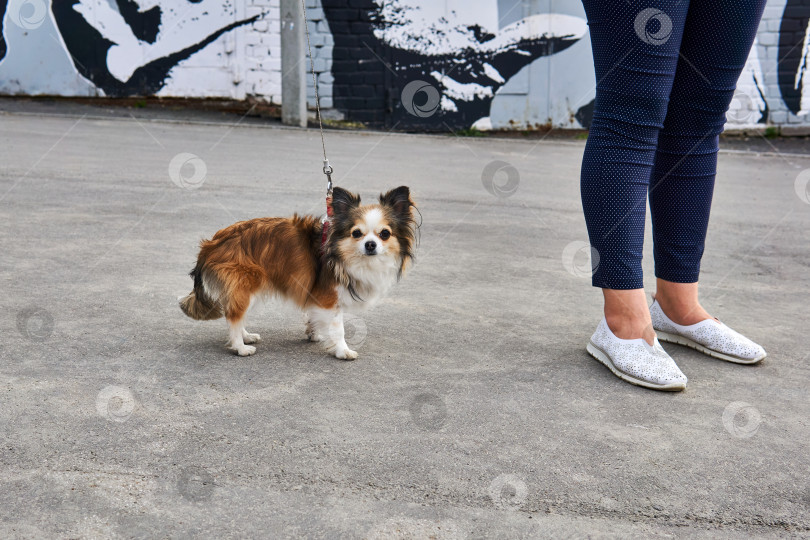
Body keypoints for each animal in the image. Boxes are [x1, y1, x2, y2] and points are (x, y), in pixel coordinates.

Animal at [178, 186, 416, 358]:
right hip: (246, 283)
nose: (370, 245)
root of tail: (210, 245)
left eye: (384, 233)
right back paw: (240, 347)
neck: (342, 254)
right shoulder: (330, 298)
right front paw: (342, 351)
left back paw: (247, 337)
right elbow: (338, 328)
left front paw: (314, 333)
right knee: (233, 316)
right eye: (356, 233)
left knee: (235, 313)